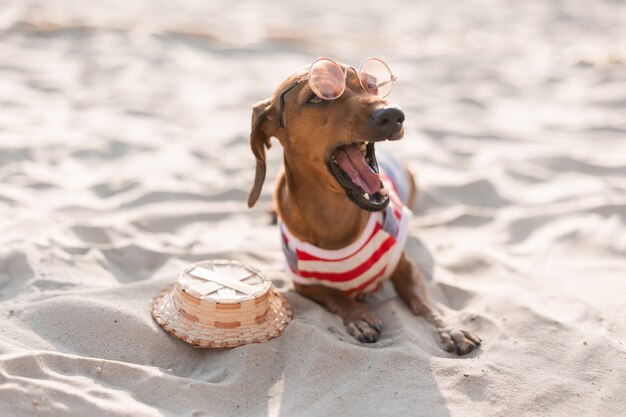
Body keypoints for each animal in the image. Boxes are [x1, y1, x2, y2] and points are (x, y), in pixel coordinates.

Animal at [244, 62, 478, 354]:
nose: (393, 115)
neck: (335, 218)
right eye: (317, 98)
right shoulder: (302, 282)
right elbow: (334, 294)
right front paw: (359, 316)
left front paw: (450, 328)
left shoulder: (405, 265)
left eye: (371, 84)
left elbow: (424, 303)